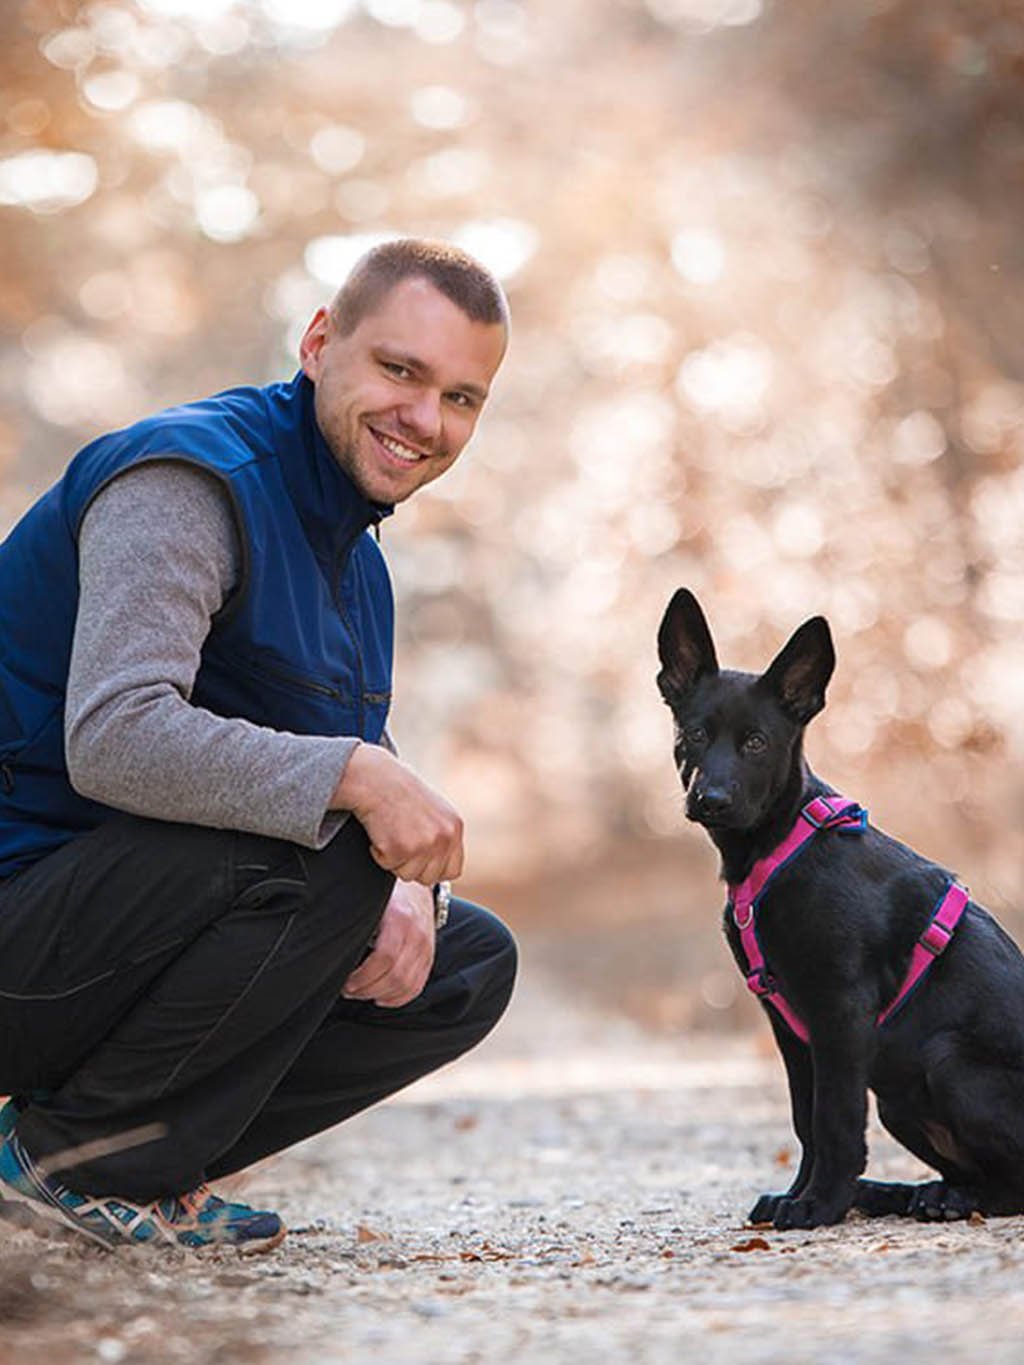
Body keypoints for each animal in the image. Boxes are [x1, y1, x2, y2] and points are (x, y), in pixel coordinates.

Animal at [658, 592, 1024, 1233]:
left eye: (756, 743)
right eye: (696, 735)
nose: (712, 800)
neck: (780, 847)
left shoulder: (841, 1013)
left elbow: (835, 1121)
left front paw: (819, 1205)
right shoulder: (789, 1024)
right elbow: (806, 1121)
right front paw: (801, 1194)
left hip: (947, 1059)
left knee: (1014, 1185)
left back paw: (943, 1200)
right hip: (901, 1099)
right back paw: (909, 1193)